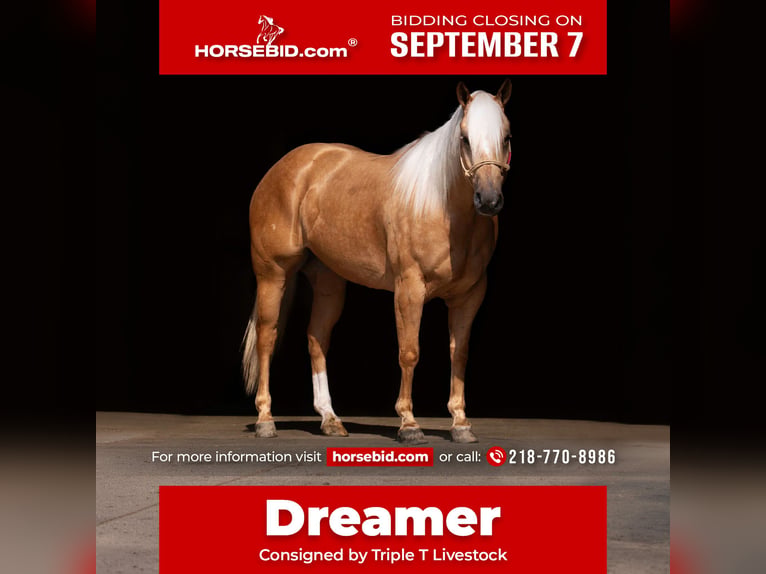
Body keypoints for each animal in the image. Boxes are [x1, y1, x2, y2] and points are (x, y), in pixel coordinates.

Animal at [242, 80, 512, 443]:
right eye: (465, 138)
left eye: (506, 137)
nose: (489, 200)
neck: (440, 205)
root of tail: (283, 168)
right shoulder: (409, 290)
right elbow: (409, 352)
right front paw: (409, 424)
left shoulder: (469, 296)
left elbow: (459, 353)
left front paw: (460, 424)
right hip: (272, 274)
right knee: (267, 338)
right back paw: (265, 419)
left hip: (329, 282)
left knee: (316, 339)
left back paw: (330, 419)